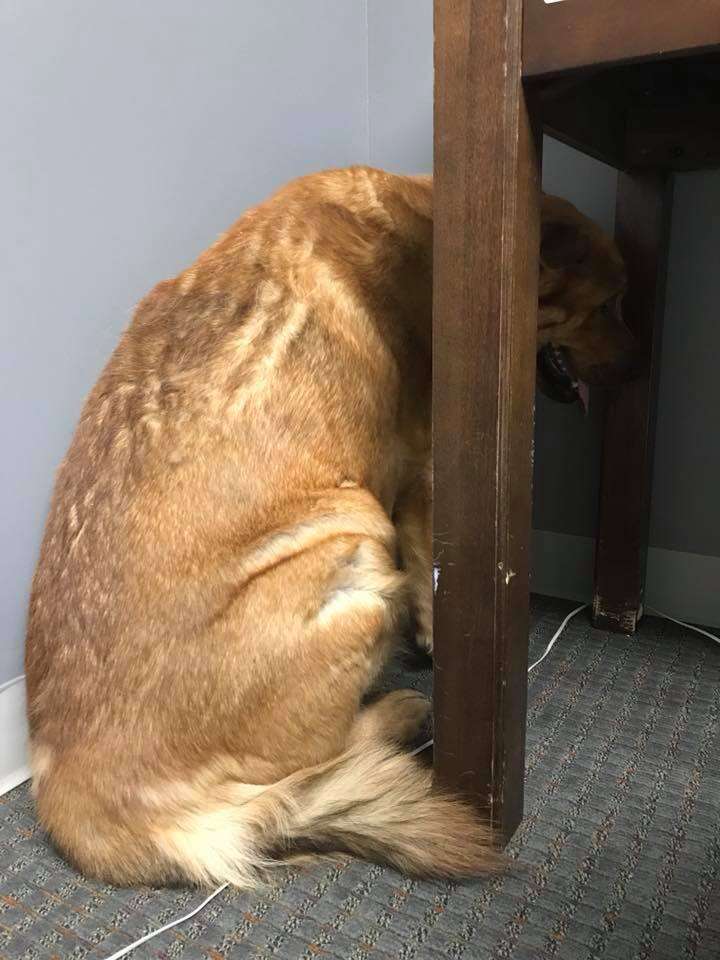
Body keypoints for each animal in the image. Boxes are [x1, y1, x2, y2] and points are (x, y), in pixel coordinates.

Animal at [23, 163, 632, 884]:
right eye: (608, 306)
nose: (636, 371)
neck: (425, 221)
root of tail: (78, 797)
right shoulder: (426, 473)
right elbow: (432, 580)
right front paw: (432, 645)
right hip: (358, 536)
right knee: (325, 762)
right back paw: (400, 714)